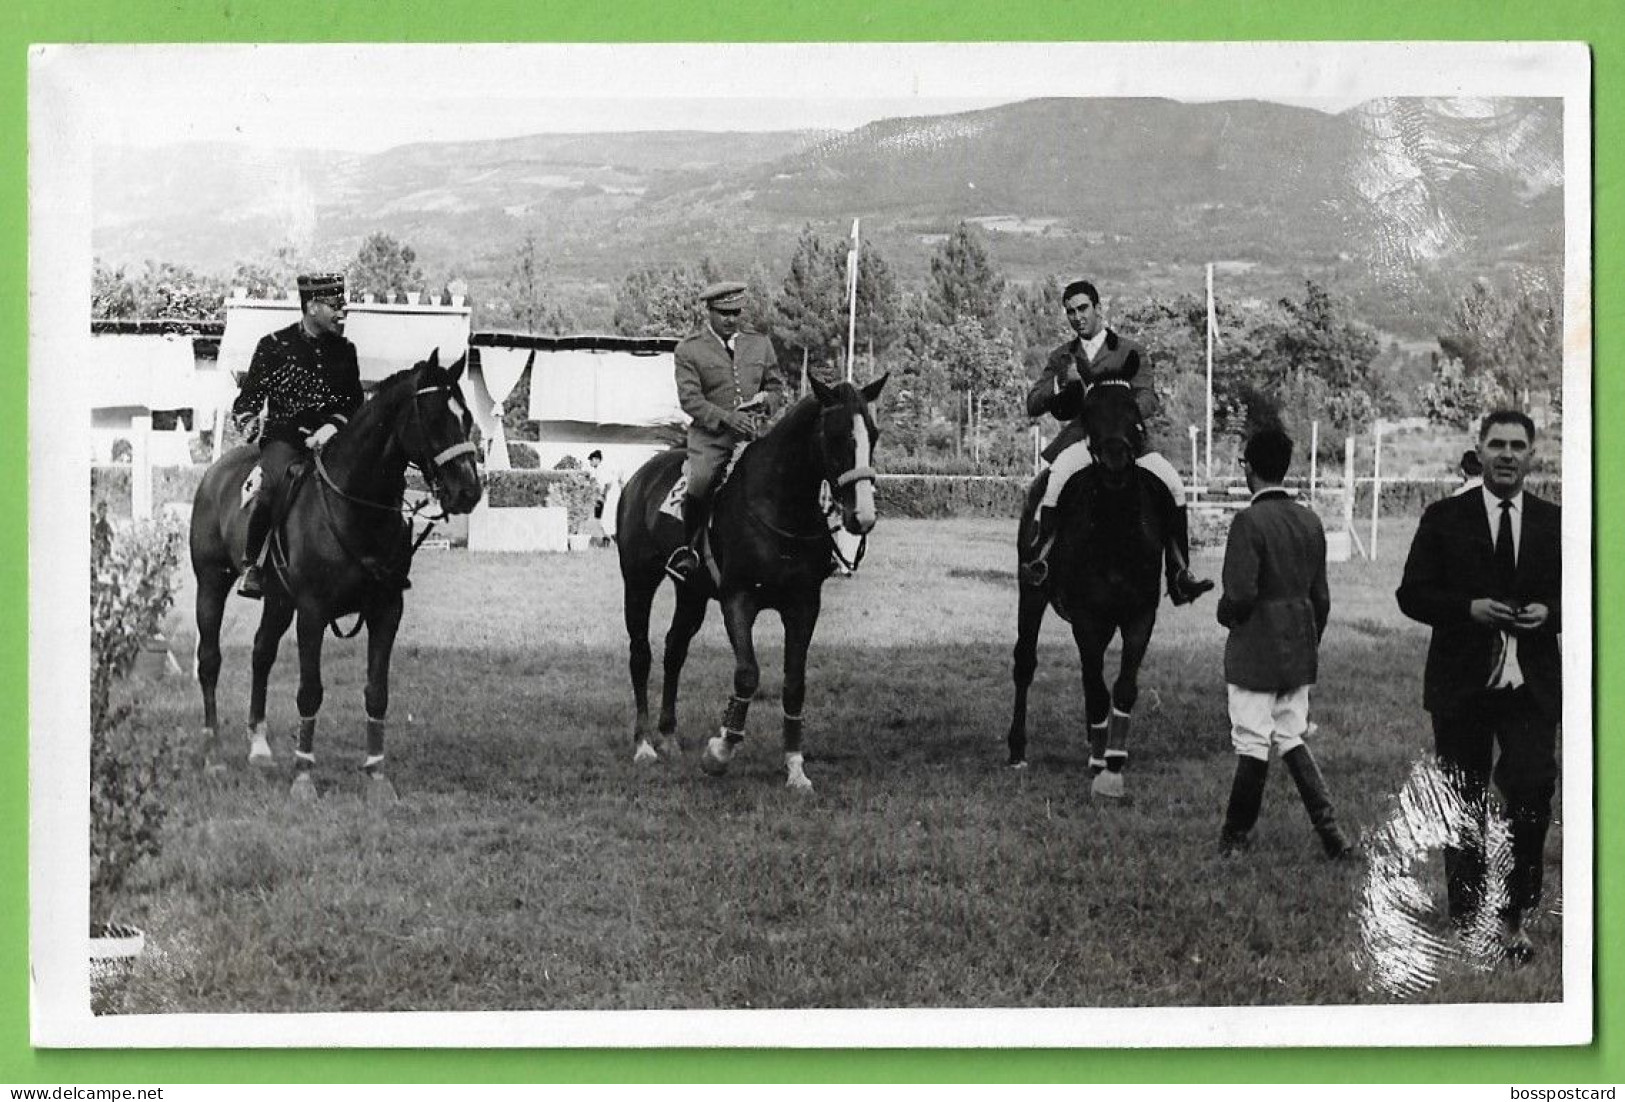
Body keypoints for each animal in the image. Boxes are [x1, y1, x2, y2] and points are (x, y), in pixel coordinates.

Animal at [190, 349, 481, 799]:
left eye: (466, 416)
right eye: (434, 418)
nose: (469, 491)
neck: (355, 506)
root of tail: (216, 470)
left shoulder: (386, 611)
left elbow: (377, 692)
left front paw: (377, 775)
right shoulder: (312, 612)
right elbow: (310, 692)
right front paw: (304, 776)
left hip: (278, 601)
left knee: (261, 654)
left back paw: (259, 746)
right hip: (210, 584)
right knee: (209, 662)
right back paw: (214, 757)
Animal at [614, 375, 890, 799]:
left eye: (872, 434)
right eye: (836, 435)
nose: (862, 517)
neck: (778, 503)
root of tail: (641, 477)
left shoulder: (803, 605)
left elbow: (794, 684)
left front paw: (795, 768)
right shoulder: (738, 600)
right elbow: (747, 674)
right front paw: (720, 751)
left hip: (691, 593)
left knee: (674, 650)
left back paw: (669, 736)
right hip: (639, 581)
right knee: (641, 654)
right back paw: (644, 744)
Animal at [1001, 383, 1170, 799]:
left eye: (1134, 414)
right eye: (1088, 414)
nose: (1115, 463)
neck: (1116, 535)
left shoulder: (1140, 617)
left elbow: (1123, 687)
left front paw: (1113, 756)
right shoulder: (1087, 620)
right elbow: (1096, 688)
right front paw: (1100, 761)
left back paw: (1096, 737)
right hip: (1031, 593)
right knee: (1025, 664)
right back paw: (1018, 749)